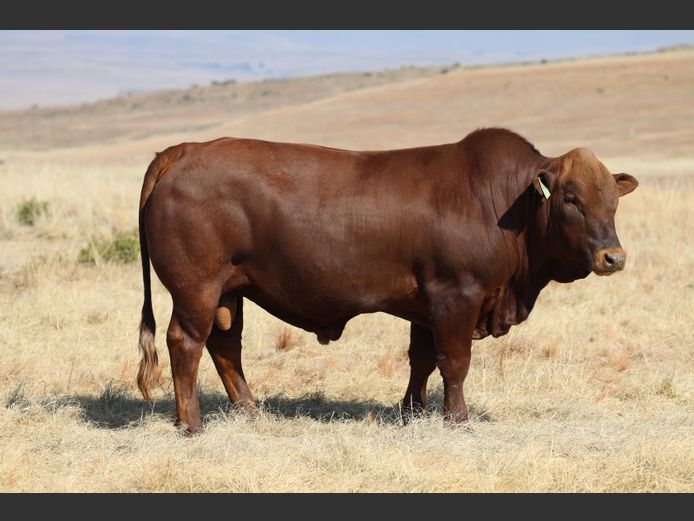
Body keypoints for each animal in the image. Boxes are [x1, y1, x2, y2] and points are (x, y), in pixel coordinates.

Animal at [136, 128, 638, 433]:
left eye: (613, 201)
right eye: (571, 199)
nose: (613, 257)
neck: (500, 203)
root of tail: (186, 149)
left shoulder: (427, 306)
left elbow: (423, 360)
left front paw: (412, 411)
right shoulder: (457, 295)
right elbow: (454, 362)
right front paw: (457, 418)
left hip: (230, 292)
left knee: (225, 347)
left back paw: (252, 412)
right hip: (197, 290)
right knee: (186, 343)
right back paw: (191, 424)